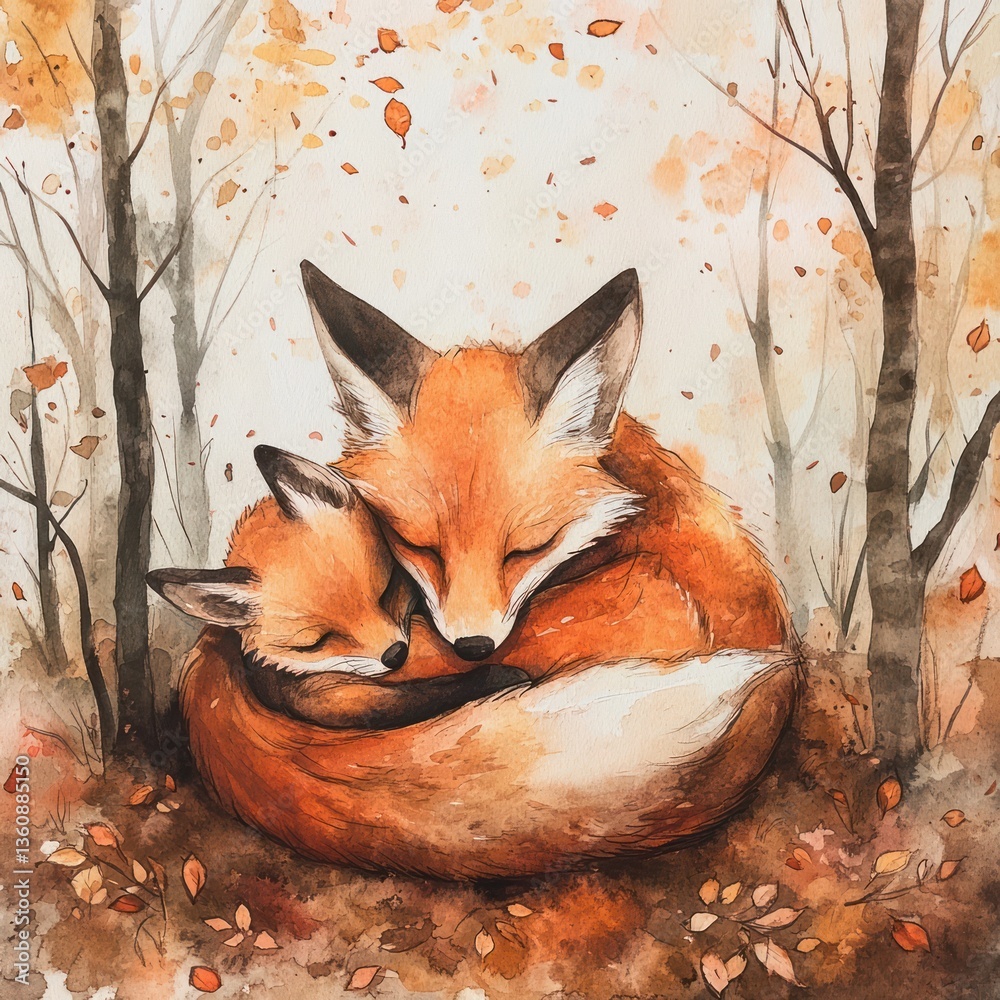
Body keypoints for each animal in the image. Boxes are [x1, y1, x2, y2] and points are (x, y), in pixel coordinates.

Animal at [148, 445, 526, 730]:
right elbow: (418, 697)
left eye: (387, 590)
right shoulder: (325, 697)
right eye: (316, 643)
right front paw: (499, 677)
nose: (396, 655)